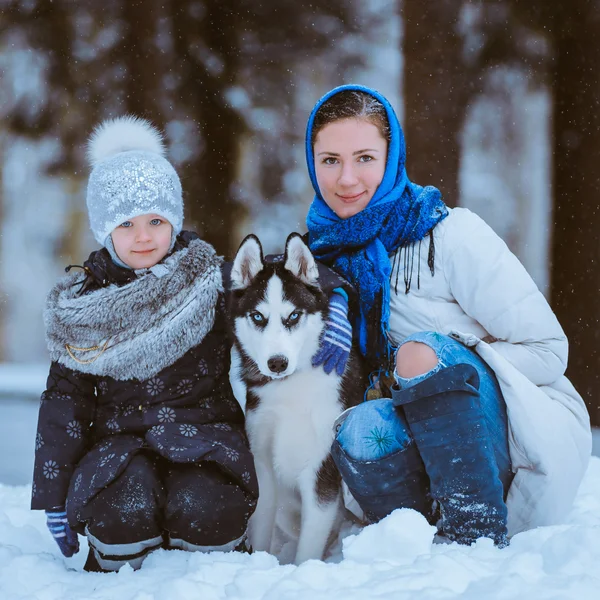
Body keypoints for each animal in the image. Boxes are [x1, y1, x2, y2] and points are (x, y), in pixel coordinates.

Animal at [229, 233, 360, 564]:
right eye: (258, 316)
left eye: (293, 316)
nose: (277, 363)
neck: (291, 388)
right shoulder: (261, 459)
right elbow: (261, 524)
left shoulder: (321, 470)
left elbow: (309, 547)